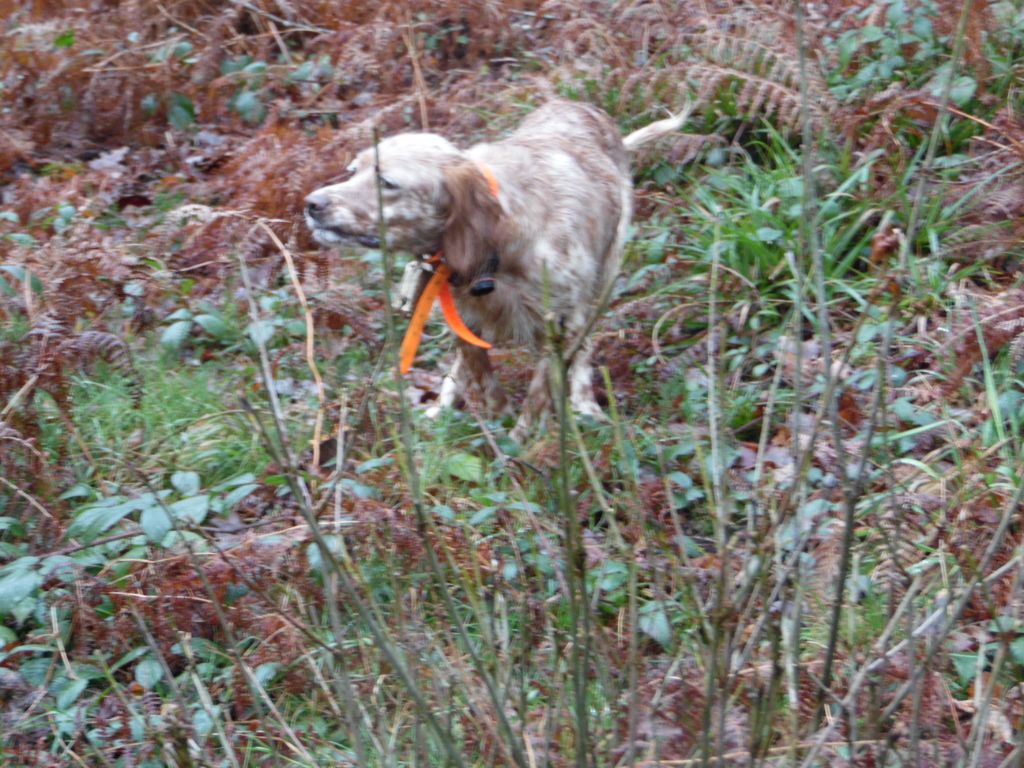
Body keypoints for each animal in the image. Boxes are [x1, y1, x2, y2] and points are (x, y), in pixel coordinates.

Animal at [305, 99, 688, 442]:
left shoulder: (559, 322)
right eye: (354, 171)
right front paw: (498, 419)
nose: (311, 203)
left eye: (387, 182)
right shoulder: (465, 320)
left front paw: (522, 442)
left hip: (603, 278)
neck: (495, 242)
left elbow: (539, 391)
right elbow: (481, 375)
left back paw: (585, 403)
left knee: (585, 345)